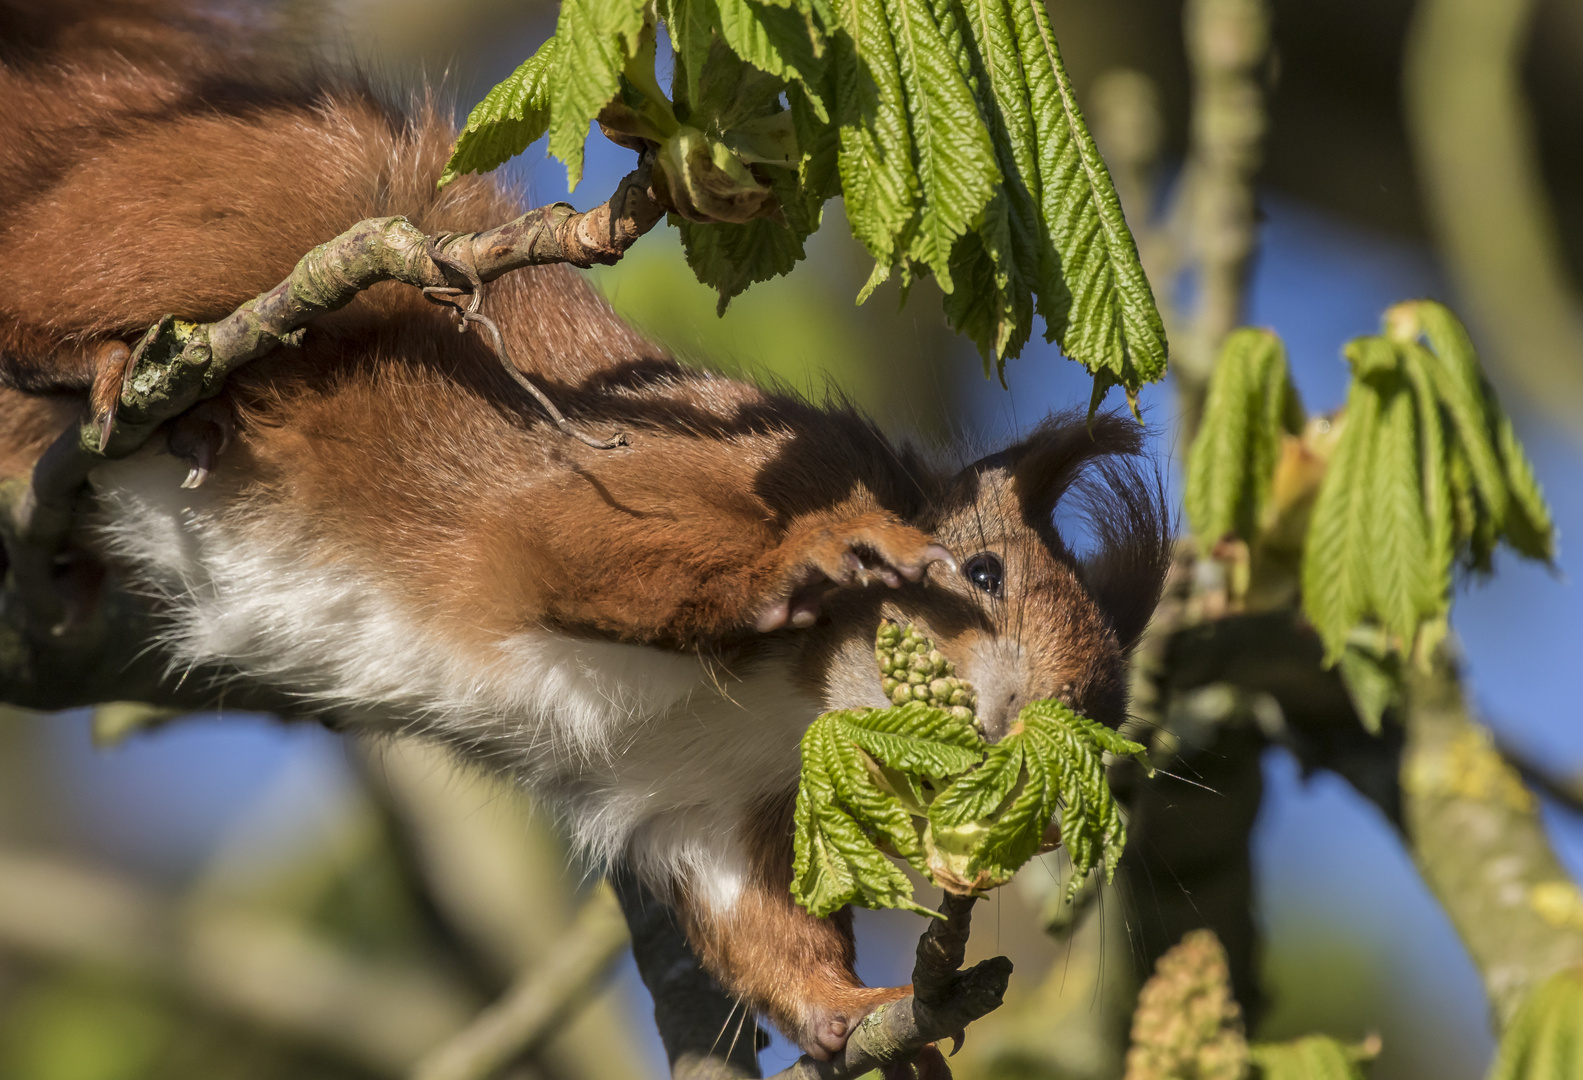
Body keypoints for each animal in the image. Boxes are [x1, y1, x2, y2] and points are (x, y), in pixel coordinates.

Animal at [0, 2, 1165, 1057]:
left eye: (1105, 716)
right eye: (981, 571)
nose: (1023, 742)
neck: (793, 699)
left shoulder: (708, 807)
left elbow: (760, 928)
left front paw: (864, 1012)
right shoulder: (654, 479)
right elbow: (588, 552)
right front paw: (825, 553)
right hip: (200, 226)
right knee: (49, 295)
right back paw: (107, 365)